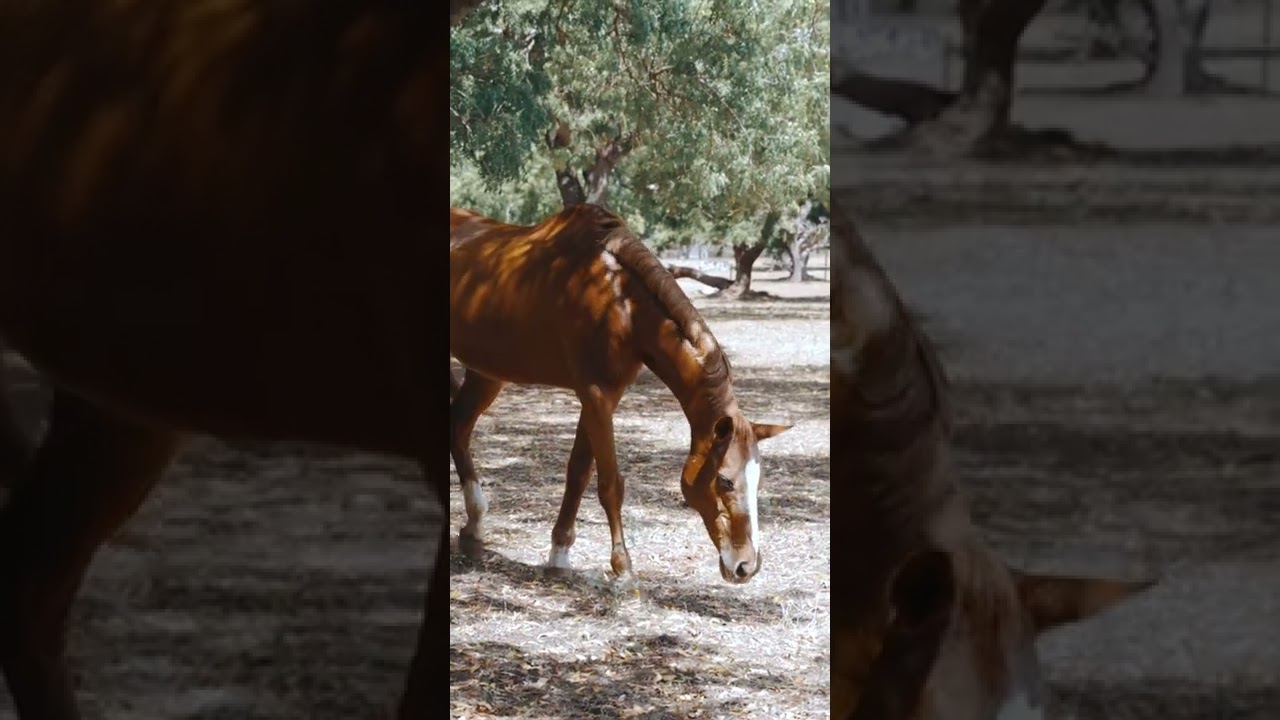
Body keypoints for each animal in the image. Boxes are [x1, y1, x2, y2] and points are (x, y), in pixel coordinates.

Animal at [449, 204, 791, 584]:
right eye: (725, 481)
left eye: (758, 481)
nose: (746, 566)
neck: (620, 301)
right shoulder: (596, 396)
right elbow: (610, 483)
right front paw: (622, 566)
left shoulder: (600, 399)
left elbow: (578, 474)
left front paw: (559, 554)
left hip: (485, 375)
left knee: (458, 430)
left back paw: (474, 527)